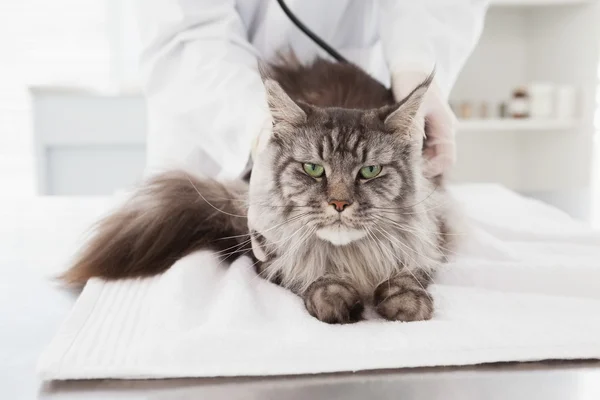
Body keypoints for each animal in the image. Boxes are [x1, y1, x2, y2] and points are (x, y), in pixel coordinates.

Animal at [61, 56, 458, 324]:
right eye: (314, 169)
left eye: (369, 171)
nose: (339, 203)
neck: (351, 257)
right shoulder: (268, 252)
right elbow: (310, 272)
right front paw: (333, 296)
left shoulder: (430, 232)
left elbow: (408, 269)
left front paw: (407, 301)